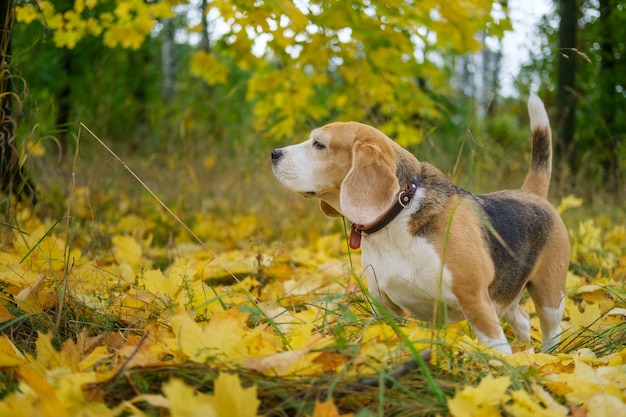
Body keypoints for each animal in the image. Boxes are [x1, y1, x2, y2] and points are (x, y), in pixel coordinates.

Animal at [270, 96, 568, 352]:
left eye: (319, 144)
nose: (274, 153)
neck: (398, 214)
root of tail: (530, 193)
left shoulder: (476, 300)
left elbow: (497, 349)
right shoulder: (385, 307)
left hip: (548, 296)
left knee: (551, 330)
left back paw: (545, 358)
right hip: (504, 297)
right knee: (523, 320)